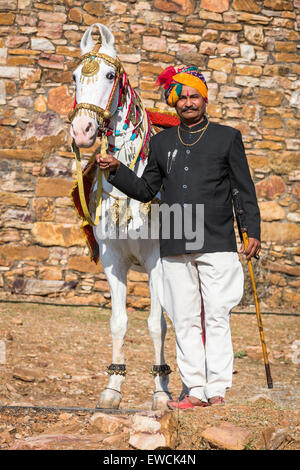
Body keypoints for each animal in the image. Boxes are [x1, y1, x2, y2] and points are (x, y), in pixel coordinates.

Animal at [69, 23, 172, 410]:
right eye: (75, 77)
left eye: (110, 75)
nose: (82, 131)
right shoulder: (113, 260)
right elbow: (118, 321)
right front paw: (112, 388)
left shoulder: (158, 260)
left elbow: (157, 324)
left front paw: (161, 394)